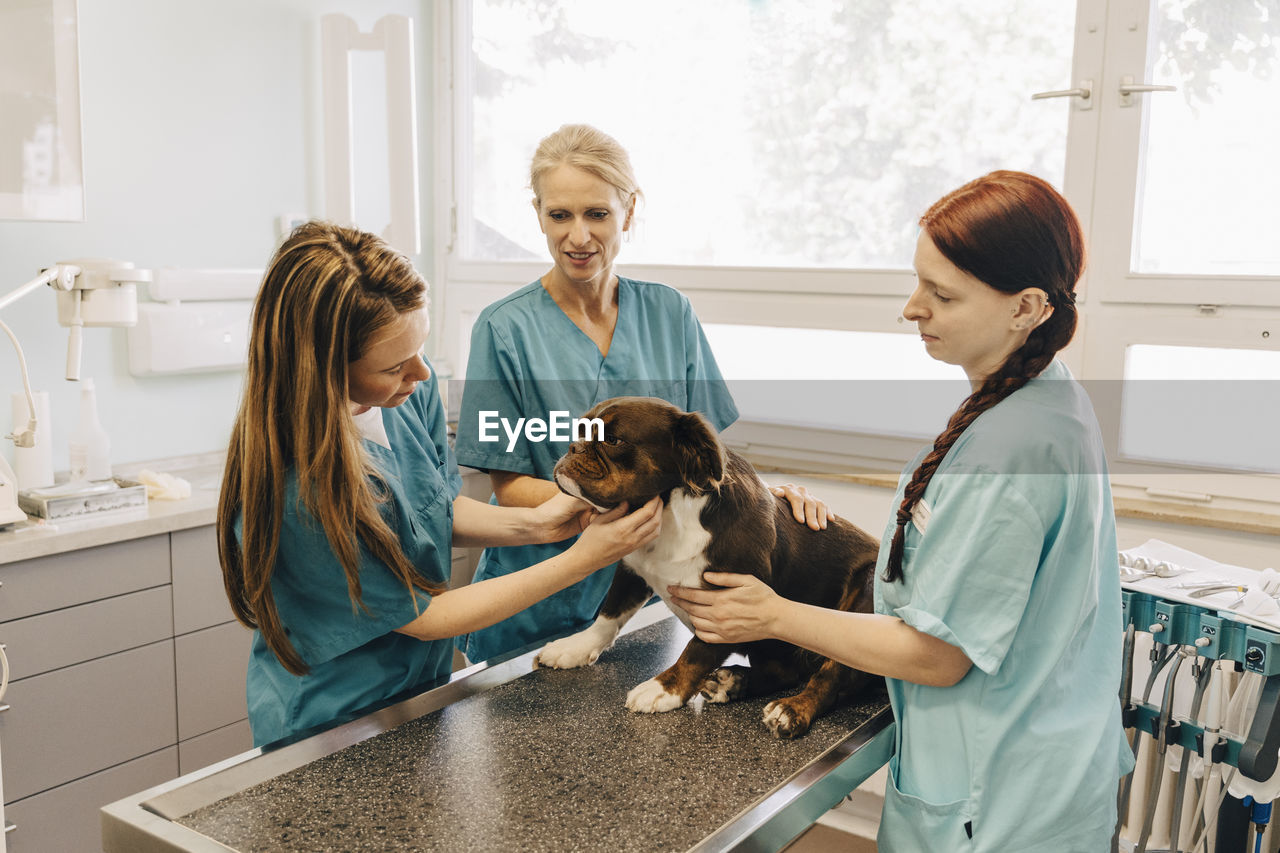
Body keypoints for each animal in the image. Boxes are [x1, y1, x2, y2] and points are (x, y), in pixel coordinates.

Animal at [537, 394, 880, 732]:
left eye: (613, 440)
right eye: (580, 430)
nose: (573, 447)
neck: (670, 511)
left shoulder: (727, 602)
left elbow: (696, 651)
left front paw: (664, 688)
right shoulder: (632, 569)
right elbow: (608, 616)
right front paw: (574, 647)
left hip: (866, 591)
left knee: (831, 676)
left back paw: (792, 708)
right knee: (787, 670)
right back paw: (733, 683)